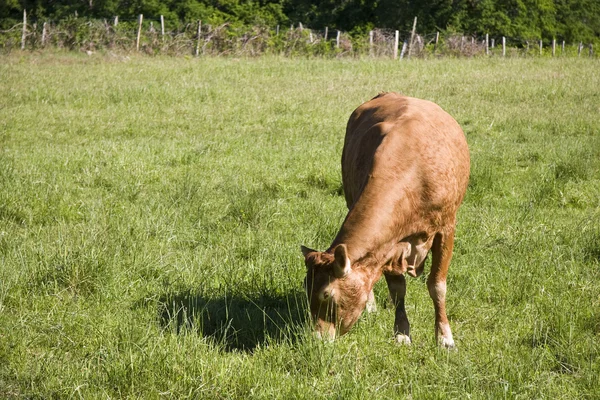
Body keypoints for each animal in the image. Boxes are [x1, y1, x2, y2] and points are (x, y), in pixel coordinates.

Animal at [302, 91, 472, 346]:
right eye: (306, 289)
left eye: (326, 294)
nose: (317, 339)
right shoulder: (390, 243)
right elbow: (397, 288)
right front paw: (401, 332)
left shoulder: (446, 227)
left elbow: (437, 285)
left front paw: (444, 337)